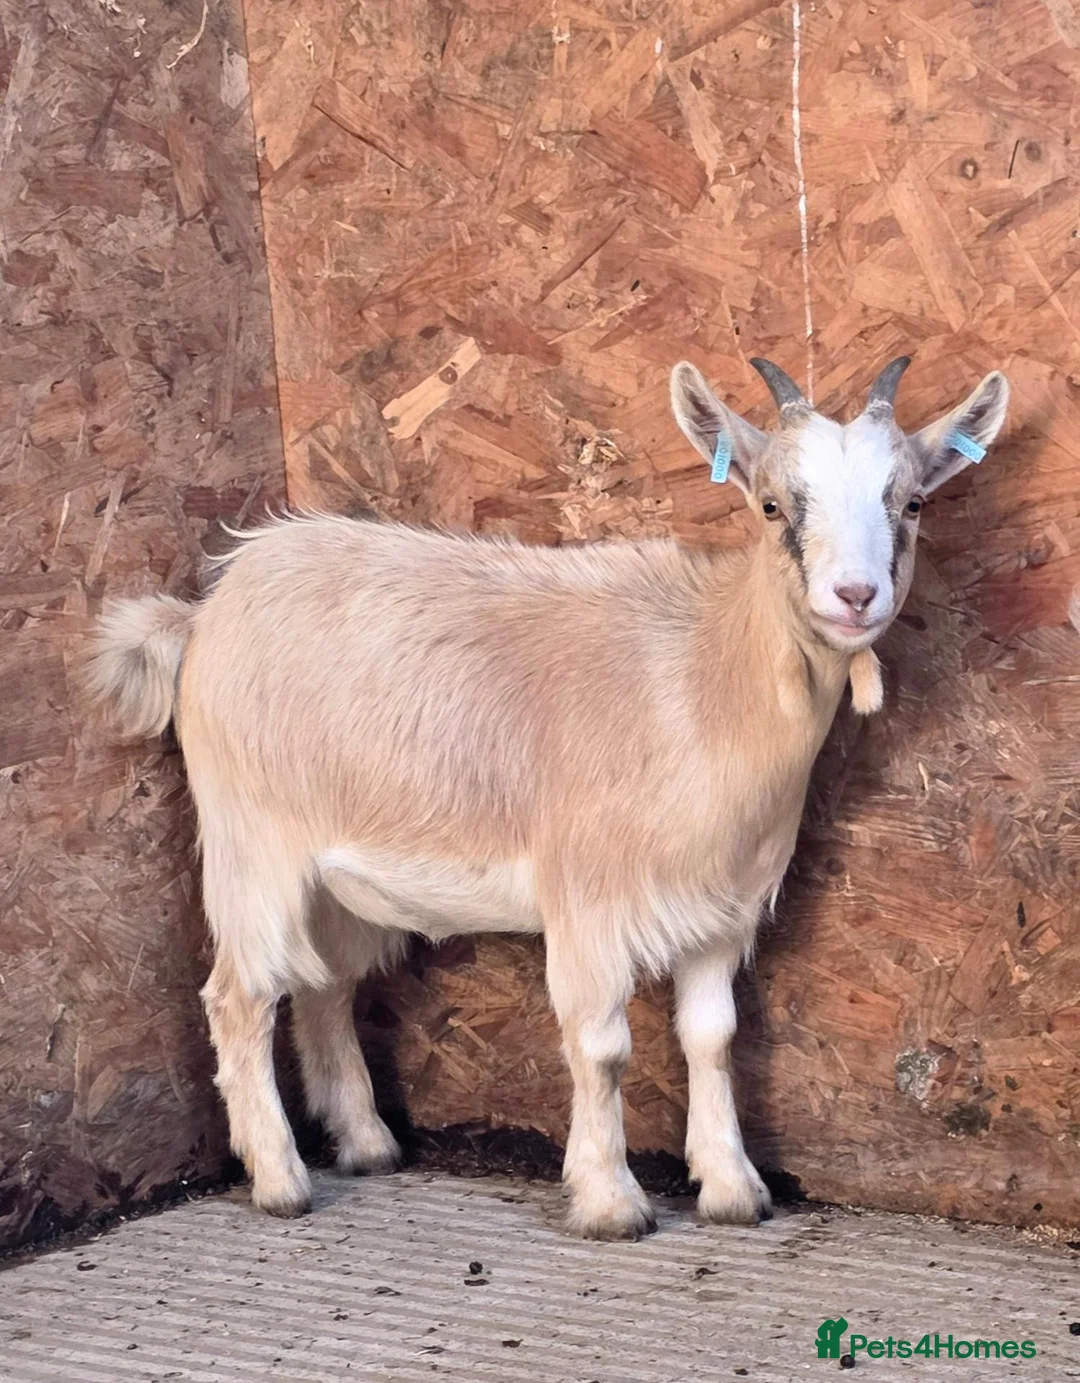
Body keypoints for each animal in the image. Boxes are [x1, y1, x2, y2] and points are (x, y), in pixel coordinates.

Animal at [87, 357, 1008, 1239]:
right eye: (773, 504)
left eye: (913, 501)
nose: (855, 596)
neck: (703, 671)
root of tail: (201, 615)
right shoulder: (588, 895)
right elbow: (601, 1048)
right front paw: (611, 1201)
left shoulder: (723, 907)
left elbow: (712, 1038)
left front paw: (732, 1189)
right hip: (253, 842)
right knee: (239, 996)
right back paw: (280, 1180)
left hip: (339, 878)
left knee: (324, 986)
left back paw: (367, 1142)